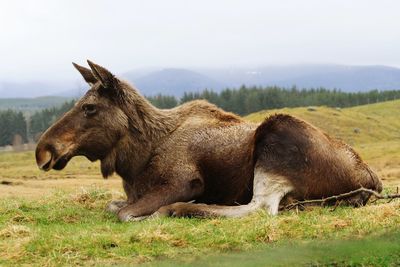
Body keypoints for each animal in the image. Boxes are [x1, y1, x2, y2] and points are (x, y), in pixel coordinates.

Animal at [36, 60, 382, 222]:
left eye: (89, 107)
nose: (43, 150)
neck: (137, 160)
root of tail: (372, 180)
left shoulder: (184, 180)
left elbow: (123, 212)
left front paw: (156, 211)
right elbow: (113, 205)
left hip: (276, 133)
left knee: (259, 208)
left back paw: (179, 208)